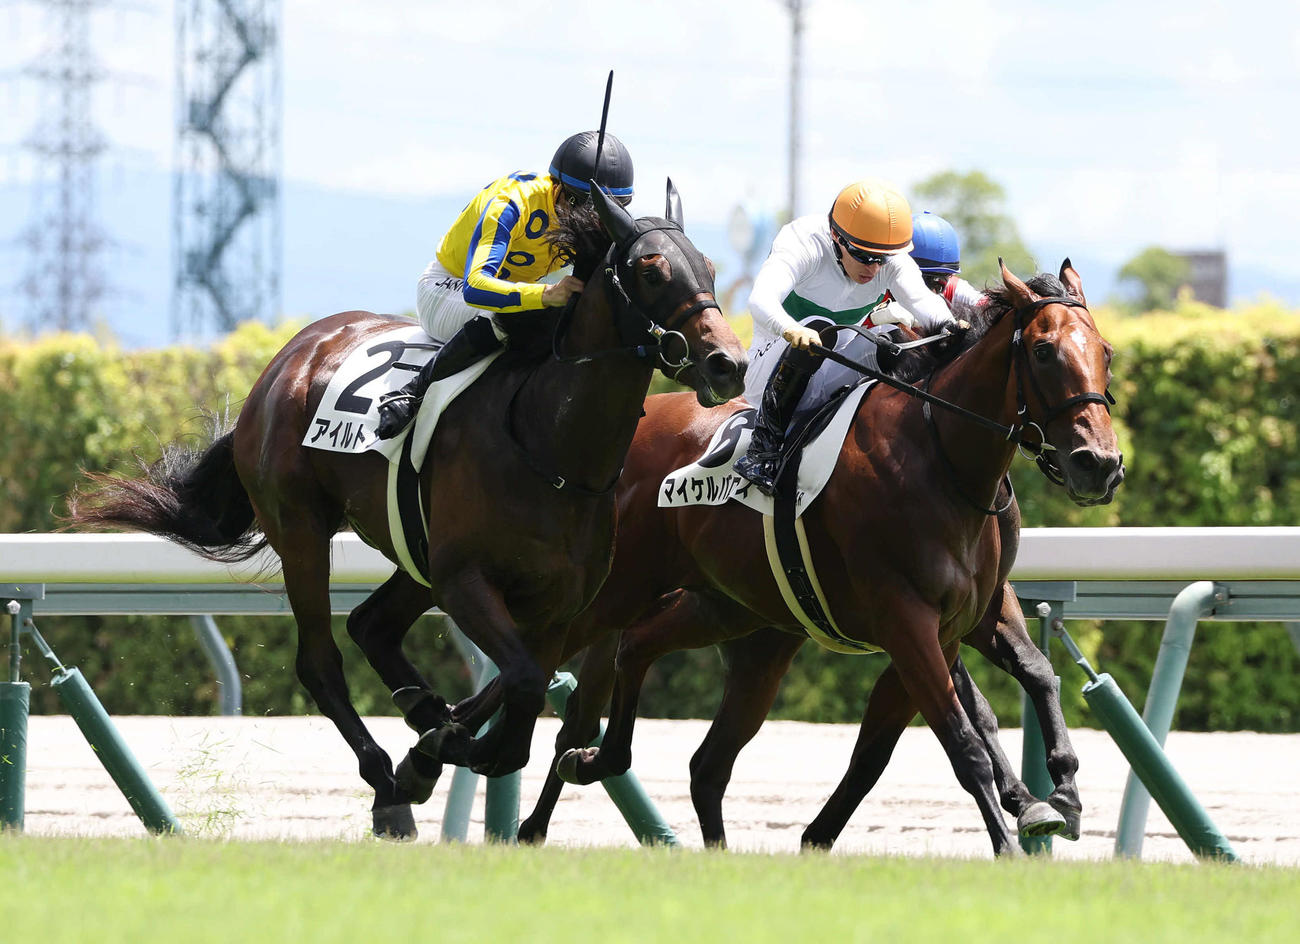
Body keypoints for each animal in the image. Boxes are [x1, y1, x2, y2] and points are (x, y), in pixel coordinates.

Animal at [66, 183, 748, 840]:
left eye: (710, 267)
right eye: (652, 270)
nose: (729, 363)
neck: (550, 444)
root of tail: (289, 357)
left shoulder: (559, 605)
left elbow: (524, 694)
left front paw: (441, 741)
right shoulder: (465, 580)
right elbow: (522, 689)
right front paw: (437, 753)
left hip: (414, 557)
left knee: (372, 624)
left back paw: (422, 724)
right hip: (304, 530)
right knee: (321, 661)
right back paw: (388, 783)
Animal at [510, 261, 1122, 856]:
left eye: (1106, 354)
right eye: (1042, 351)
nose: (1099, 464)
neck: (940, 457)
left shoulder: (969, 616)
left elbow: (1027, 678)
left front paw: (1060, 794)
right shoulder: (906, 621)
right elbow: (964, 742)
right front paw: (1012, 837)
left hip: (732, 614)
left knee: (679, 719)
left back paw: (618, 779)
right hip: (617, 591)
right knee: (558, 682)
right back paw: (527, 803)